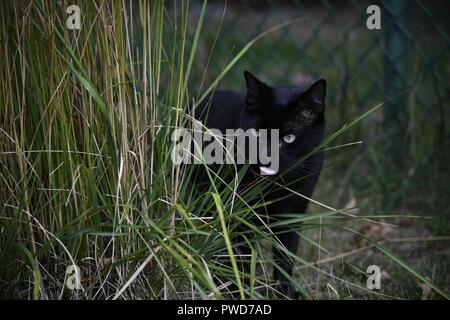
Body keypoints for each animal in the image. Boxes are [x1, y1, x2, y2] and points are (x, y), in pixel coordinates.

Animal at [195, 70, 326, 298]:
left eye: (289, 137)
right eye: (257, 134)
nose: (266, 159)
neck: (273, 189)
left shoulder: (292, 214)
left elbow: (285, 256)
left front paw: (284, 291)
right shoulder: (239, 214)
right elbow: (244, 256)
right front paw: (242, 291)